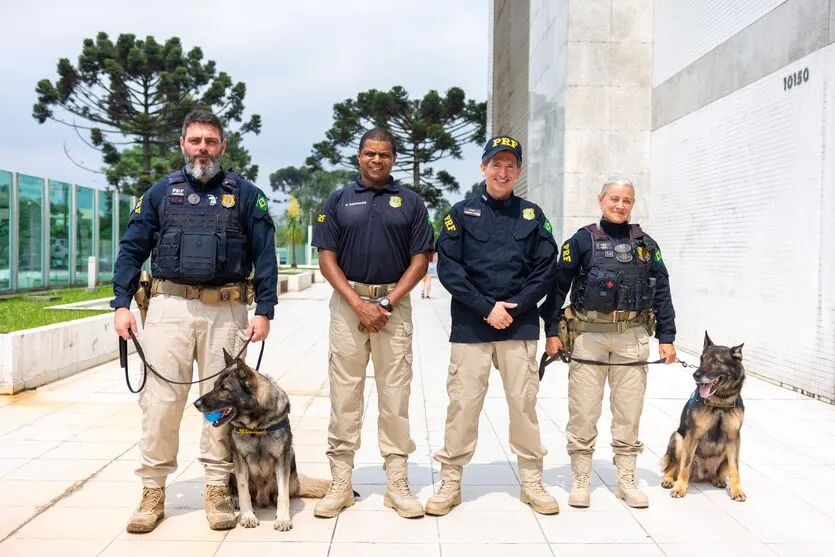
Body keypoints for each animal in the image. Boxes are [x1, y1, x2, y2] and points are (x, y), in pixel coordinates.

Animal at [664, 332, 748, 502]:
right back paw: (669, 480)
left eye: (716, 361)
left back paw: (718, 479)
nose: (695, 375)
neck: (720, 403)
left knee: (720, 472)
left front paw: (736, 490)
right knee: (672, 467)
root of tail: (701, 476)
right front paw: (680, 488)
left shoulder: (734, 438)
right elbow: (685, 465)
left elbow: (735, 469)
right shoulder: (693, 435)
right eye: (702, 359)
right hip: (678, 438)